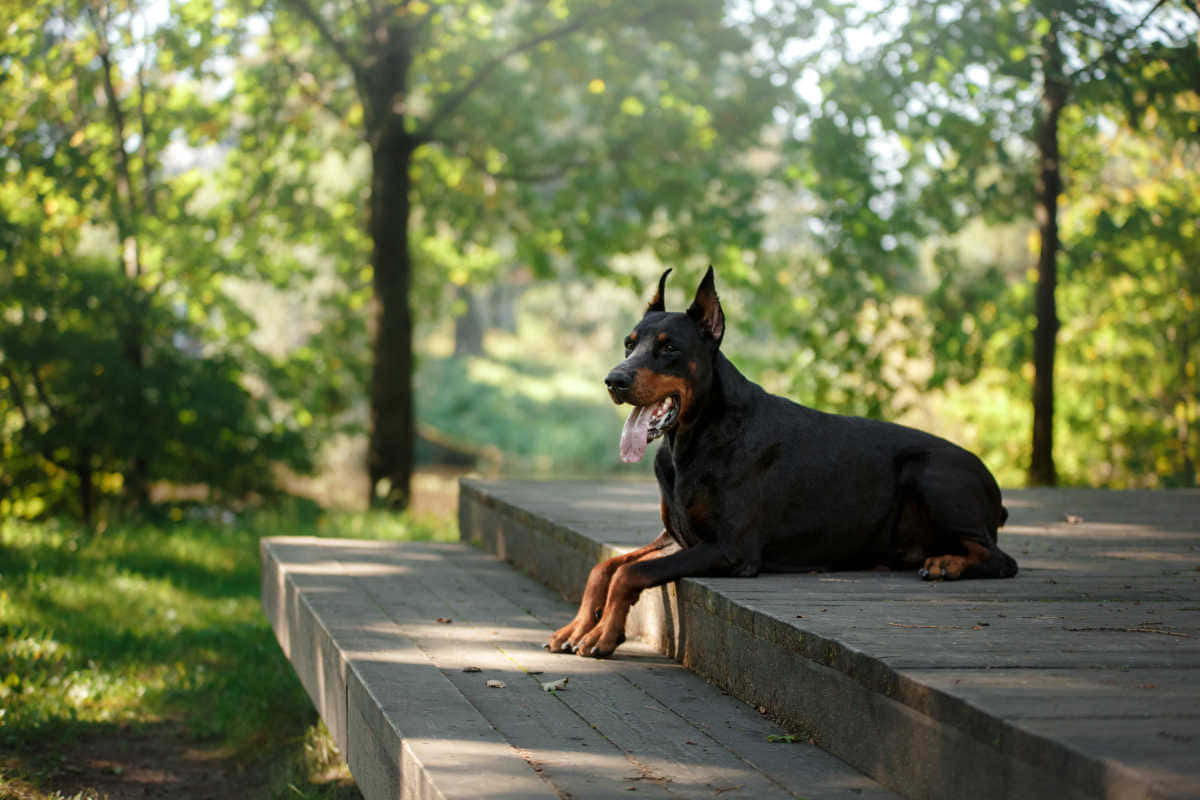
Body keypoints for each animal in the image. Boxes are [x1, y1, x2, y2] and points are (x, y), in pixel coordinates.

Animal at [549, 268, 1017, 657]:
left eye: (669, 349)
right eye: (629, 344)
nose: (614, 380)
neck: (694, 439)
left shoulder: (730, 548)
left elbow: (631, 575)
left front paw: (602, 636)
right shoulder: (676, 536)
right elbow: (605, 567)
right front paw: (575, 629)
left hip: (931, 473)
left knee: (1001, 559)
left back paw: (946, 564)